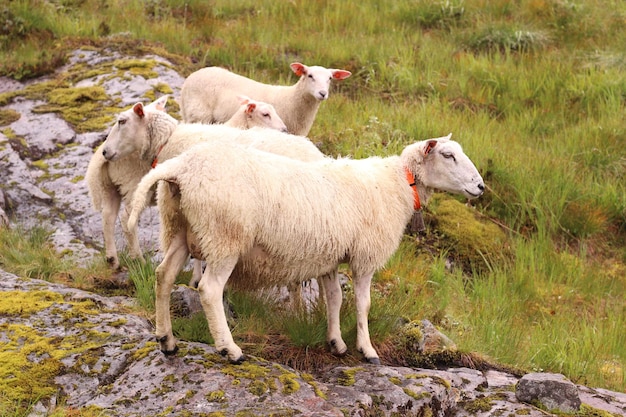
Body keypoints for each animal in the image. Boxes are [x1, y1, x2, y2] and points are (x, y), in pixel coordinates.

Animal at [85, 96, 320, 268]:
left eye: (122, 121)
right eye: (265, 114)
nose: (105, 151)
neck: (168, 140)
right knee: (112, 215)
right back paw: (116, 259)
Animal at [124, 133, 480, 364]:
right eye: (448, 155)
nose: (480, 186)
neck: (398, 184)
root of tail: (181, 168)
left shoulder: (329, 256)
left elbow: (334, 299)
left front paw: (336, 343)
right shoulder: (365, 256)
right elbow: (362, 304)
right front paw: (367, 350)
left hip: (179, 228)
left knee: (163, 276)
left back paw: (167, 341)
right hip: (225, 235)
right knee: (209, 289)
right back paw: (230, 349)